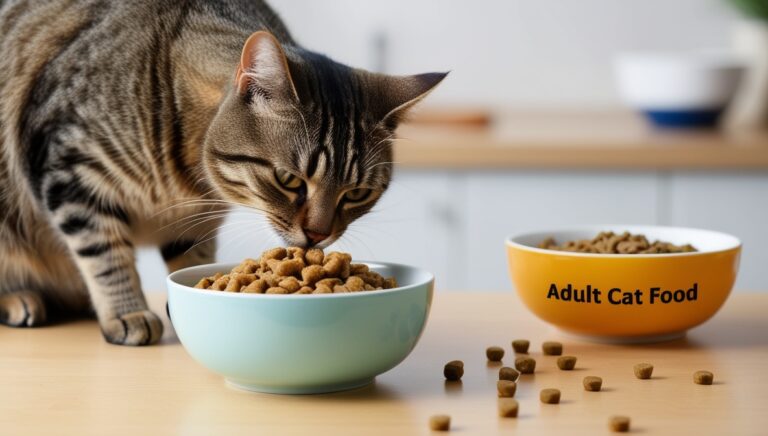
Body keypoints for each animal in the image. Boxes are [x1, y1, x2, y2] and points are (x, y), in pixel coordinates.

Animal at [0, 1, 444, 346]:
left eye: (356, 194)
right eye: (289, 180)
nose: (318, 236)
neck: (188, 178)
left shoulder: (195, 221)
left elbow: (188, 260)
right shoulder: (68, 165)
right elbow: (105, 254)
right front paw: (127, 312)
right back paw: (20, 300)